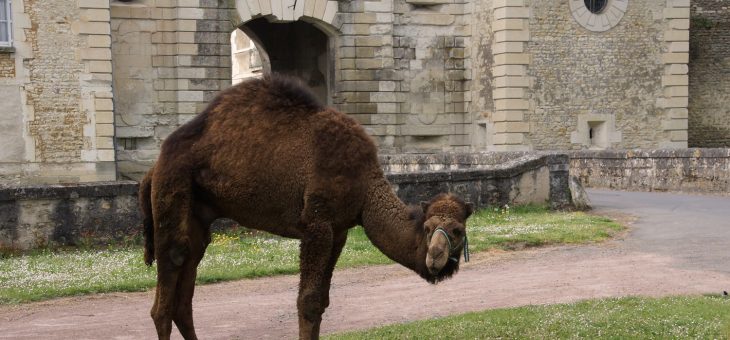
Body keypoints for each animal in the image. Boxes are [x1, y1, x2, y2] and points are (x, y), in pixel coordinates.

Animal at [139, 75, 472, 340]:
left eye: (458, 230)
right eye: (428, 228)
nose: (435, 256)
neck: (364, 185)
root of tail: (154, 167)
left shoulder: (339, 231)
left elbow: (322, 300)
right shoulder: (317, 223)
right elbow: (308, 301)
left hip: (198, 214)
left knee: (185, 290)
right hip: (173, 188)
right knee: (168, 283)